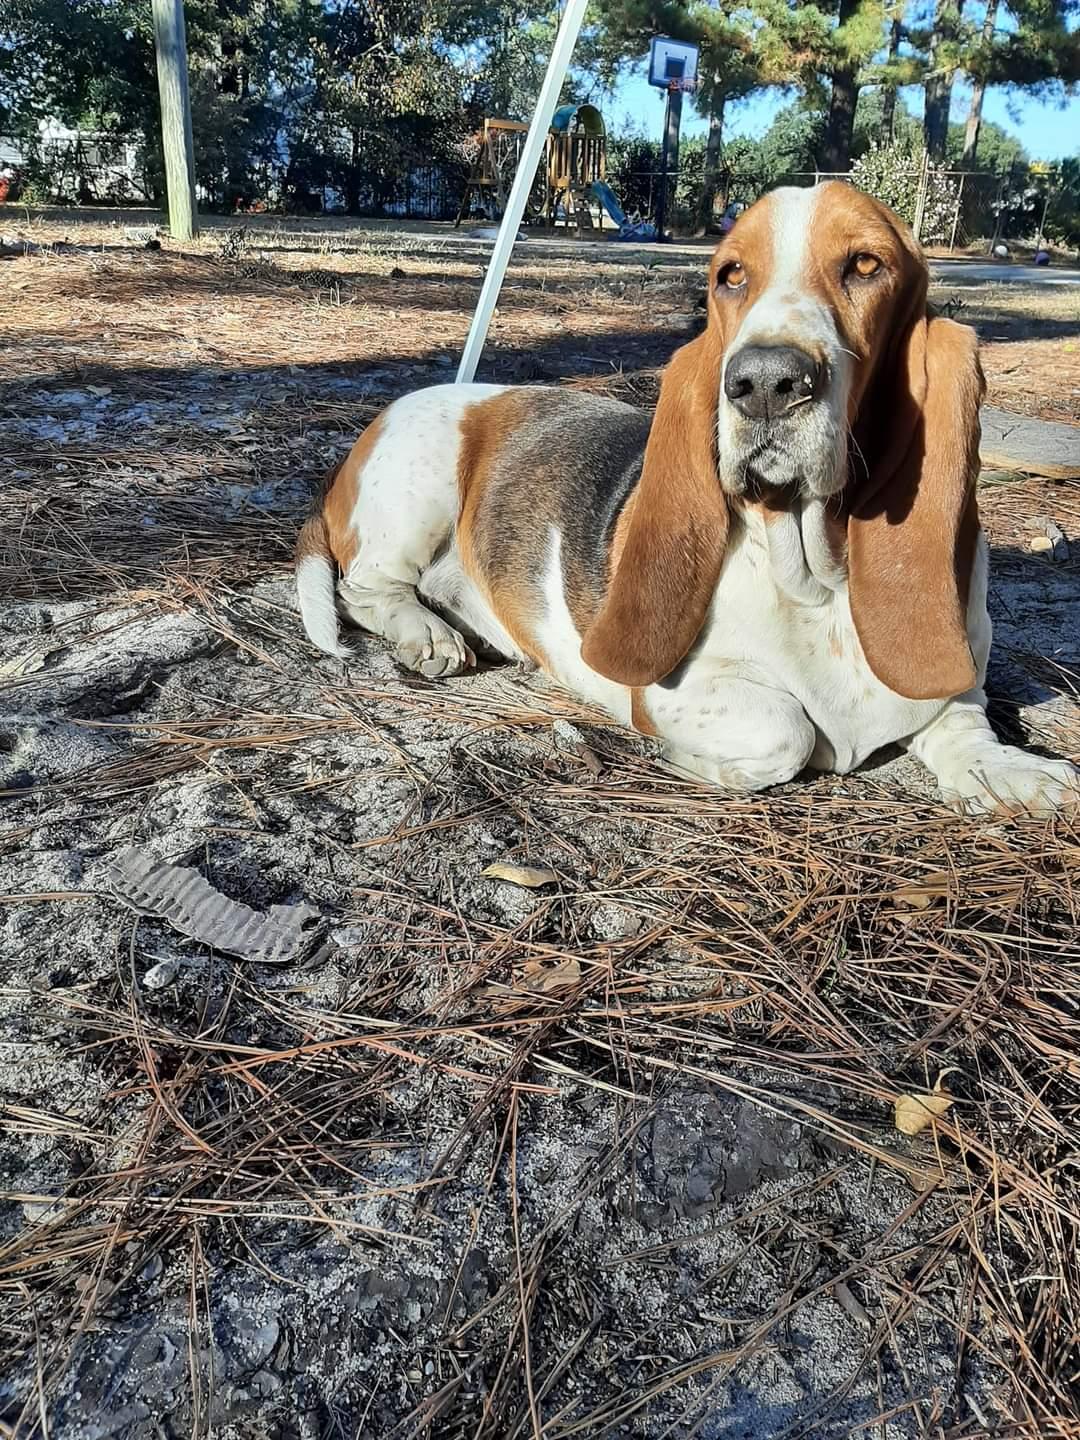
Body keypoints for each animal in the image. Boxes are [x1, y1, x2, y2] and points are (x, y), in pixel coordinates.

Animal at [296, 181, 1078, 816]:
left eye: (866, 265)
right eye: (730, 275)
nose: (766, 383)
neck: (815, 582)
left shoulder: (957, 688)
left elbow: (966, 725)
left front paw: (1019, 774)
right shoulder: (670, 693)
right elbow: (790, 731)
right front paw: (697, 764)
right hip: (417, 491)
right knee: (365, 587)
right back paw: (426, 633)